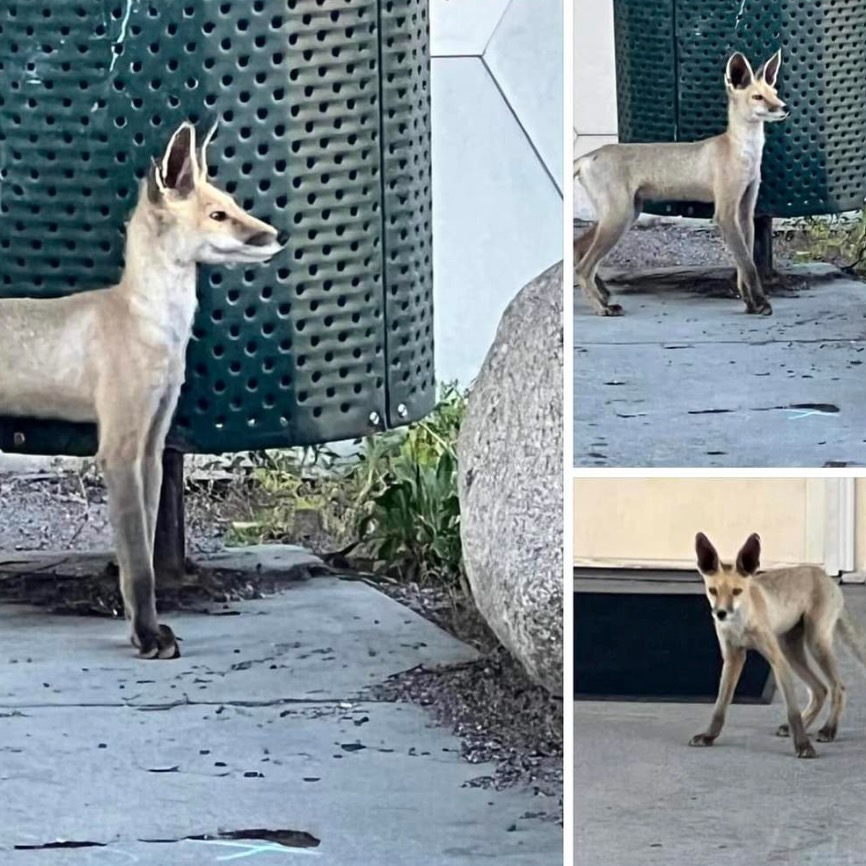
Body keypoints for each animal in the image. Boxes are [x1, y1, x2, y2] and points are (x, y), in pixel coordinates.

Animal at [0, 121, 284, 659]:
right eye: (218, 215)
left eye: (232, 204)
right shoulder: (119, 448)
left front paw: (143, 630)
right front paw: (149, 638)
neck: (149, 323)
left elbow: (146, 558)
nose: (274, 237)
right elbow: (137, 566)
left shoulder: (152, 447)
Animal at [574, 50, 787, 317]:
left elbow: (745, 264)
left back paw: (602, 296)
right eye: (757, 96)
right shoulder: (725, 212)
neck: (743, 152)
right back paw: (602, 308)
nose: (784, 108)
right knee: (583, 267)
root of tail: (589, 155)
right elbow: (748, 266)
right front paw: (760, 303)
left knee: (576, 249)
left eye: (774, 92)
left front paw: (750, 303)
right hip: (618, 218)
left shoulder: (745, 211)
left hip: (625, 214)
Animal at [690, 531, 866, 758]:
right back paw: (808, 725)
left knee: (837, 688)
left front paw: (803, 745)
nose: (721, 614)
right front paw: (709, 736)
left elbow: (793, 712)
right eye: (713, 590)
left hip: (815, 644)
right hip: (791, 650)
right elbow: (720, 707)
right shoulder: (733, 659)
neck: (741, 625)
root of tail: (825, 576)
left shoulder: (777, 661)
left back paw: (828, 729)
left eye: (737, 591)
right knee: (819, 690)